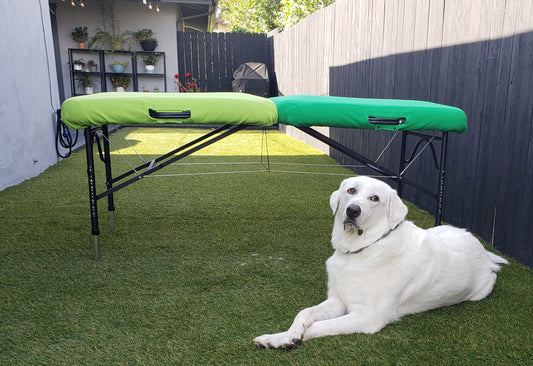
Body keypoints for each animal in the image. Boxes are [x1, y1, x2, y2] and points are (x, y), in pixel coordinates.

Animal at [254, 177, 508, 348]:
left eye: (374, 198)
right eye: (351, 190)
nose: (352, 210)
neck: (360, 250)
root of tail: (482, 249)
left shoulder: (368, 317)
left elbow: (318, 326)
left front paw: (292, 338)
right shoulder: (337, 301)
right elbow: (303, 313)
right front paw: (281, 336)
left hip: (482, 289)